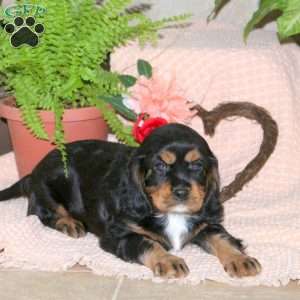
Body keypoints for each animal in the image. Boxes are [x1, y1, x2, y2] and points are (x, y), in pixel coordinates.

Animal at [0, 123, 260, 278]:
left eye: (197, 165)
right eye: (160, 166)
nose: (181, 191)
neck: (171, 214)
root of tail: (31, 173)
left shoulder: (206, 224)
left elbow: (222, 238)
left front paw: (241, 260)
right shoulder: (119, 235)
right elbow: (147, 242)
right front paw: (169, 260)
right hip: (48, 186)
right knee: (45, 212)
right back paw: (69, 223)